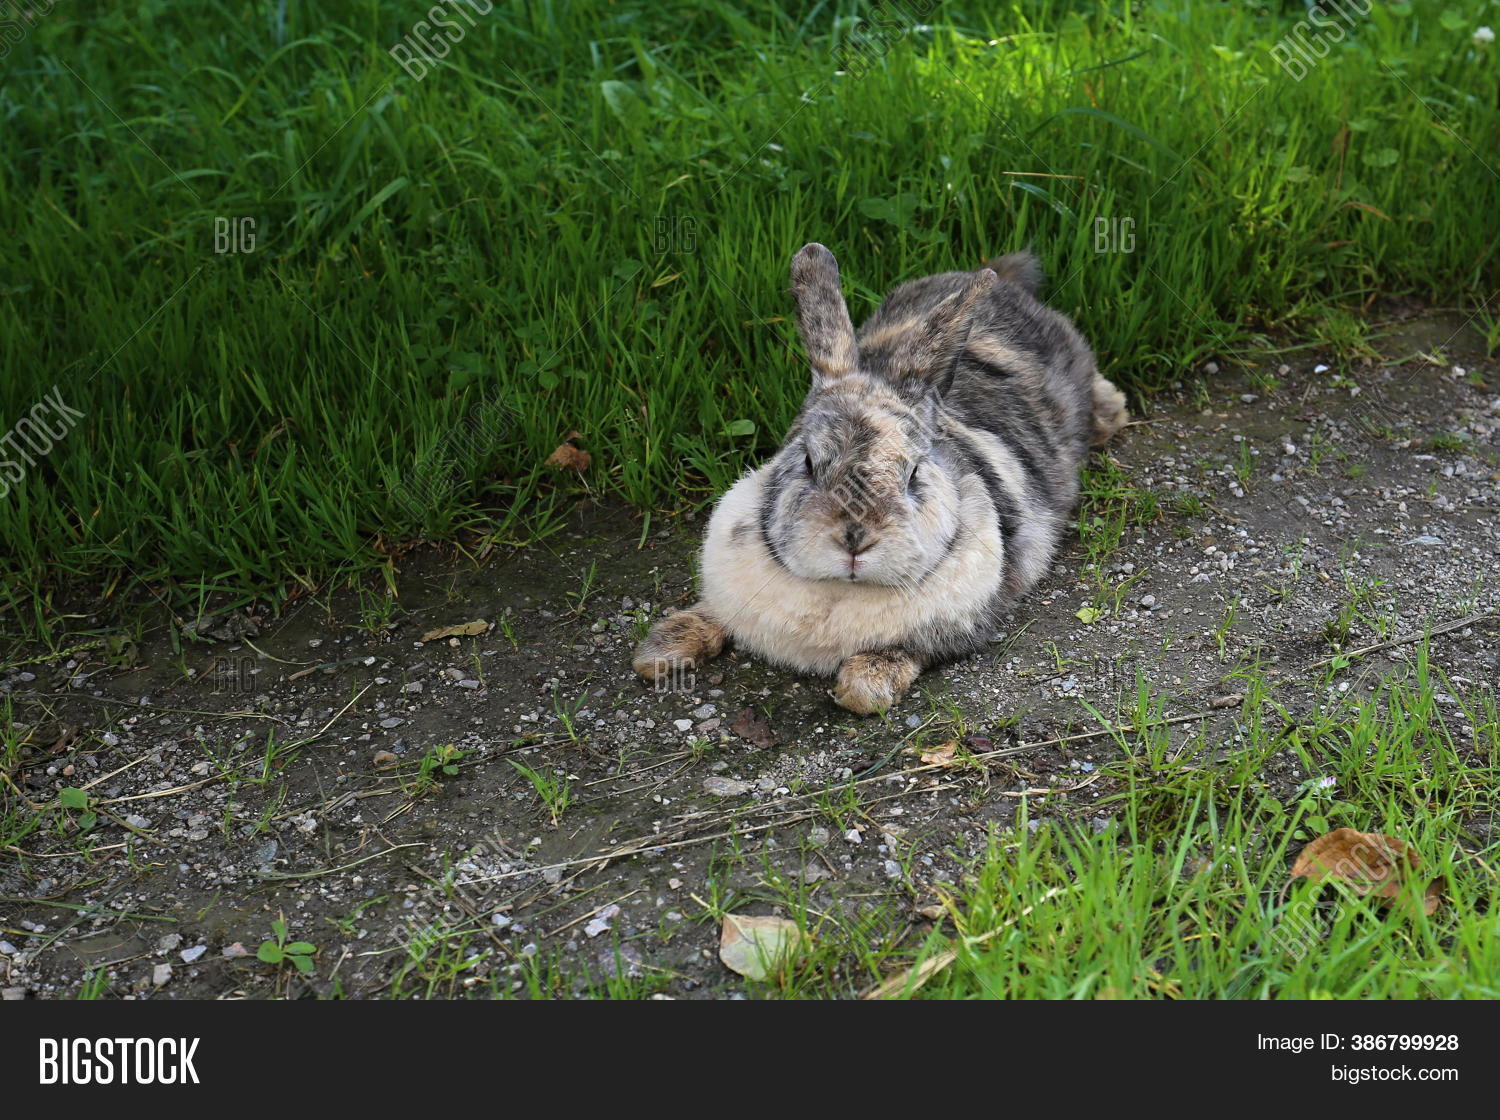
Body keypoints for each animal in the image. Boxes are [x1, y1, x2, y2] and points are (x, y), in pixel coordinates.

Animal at [633, 243, 1128, 715]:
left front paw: (863, 686)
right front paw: (659, 653)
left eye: (913, 472)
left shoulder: (956, 629)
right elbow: (708, 616)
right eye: (808, 461)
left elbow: (892, 663)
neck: (839, 593)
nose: (854, 540)